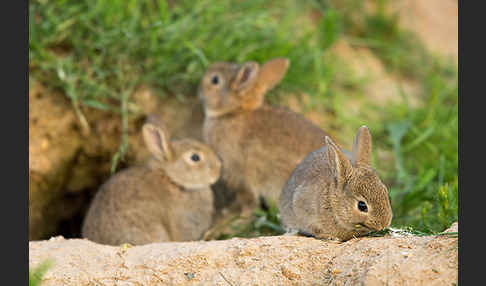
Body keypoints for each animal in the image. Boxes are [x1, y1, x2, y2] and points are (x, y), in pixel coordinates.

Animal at [197, 57, 342, 214]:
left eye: (215, 80)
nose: (199, 90)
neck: (234, 113)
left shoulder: (240, 174)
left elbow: (248, 200)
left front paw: (236, 213)